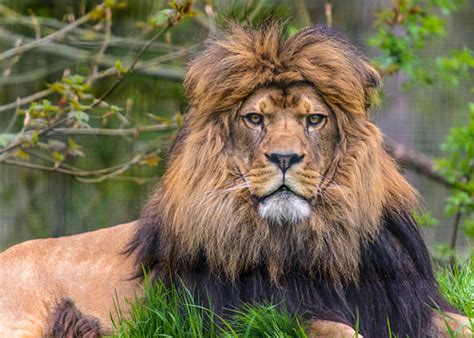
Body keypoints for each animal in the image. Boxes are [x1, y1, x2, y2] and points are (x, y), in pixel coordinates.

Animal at [0, 23, 468, 338]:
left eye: (314, 119)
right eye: (255, 119)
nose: (284, 158)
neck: (313, 240)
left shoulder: (405, 301)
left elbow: (462, 320)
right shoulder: (248, 316)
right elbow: (337, 329)